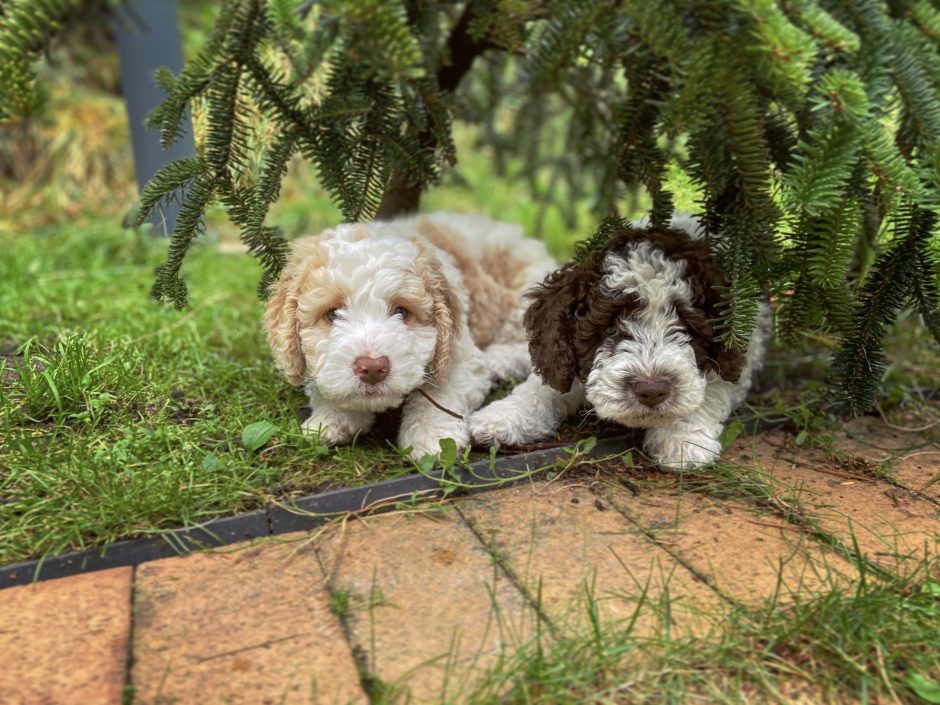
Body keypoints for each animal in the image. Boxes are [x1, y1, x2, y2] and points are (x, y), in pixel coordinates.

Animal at [264, 212, 556, 460]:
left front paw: (431, 437)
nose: (373, 367)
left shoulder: (459, 355)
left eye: (401, 311)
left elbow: (439, 394)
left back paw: (498, 360)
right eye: (333, 313)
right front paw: (330, 420)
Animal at [474, 214, 768, 468]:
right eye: (611, 328)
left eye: (687, 328)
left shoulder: (739, 356)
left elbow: (711, 390)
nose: (651, 389)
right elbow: (543, 387)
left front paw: (682, 439)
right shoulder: (563, 355)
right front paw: (501, 417)